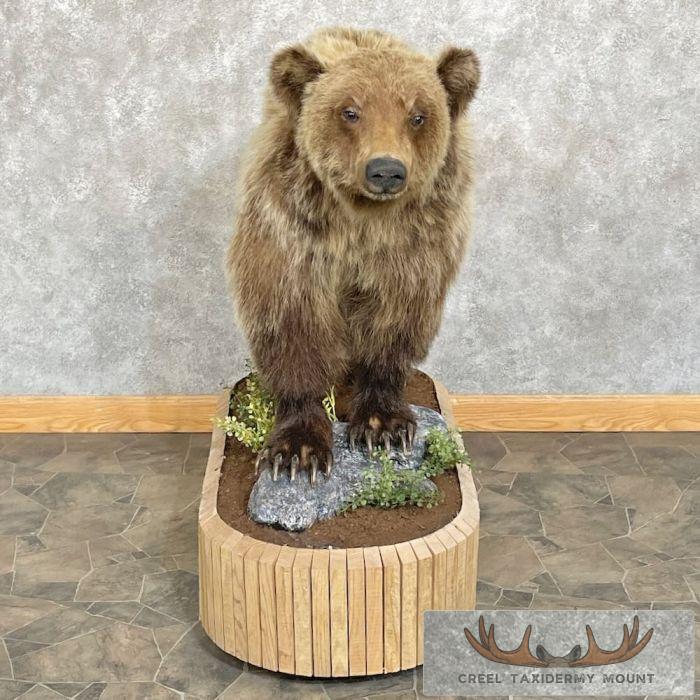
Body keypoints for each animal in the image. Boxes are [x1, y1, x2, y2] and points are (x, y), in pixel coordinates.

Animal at [227, 27, 479, 483]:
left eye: (417, 115)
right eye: (350, 111)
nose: (386, 170)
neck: (361, 223)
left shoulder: (413, 249)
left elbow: (394, 320)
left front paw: (384, 426)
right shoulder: (292, 234)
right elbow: (291, 322)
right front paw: (297, 451)